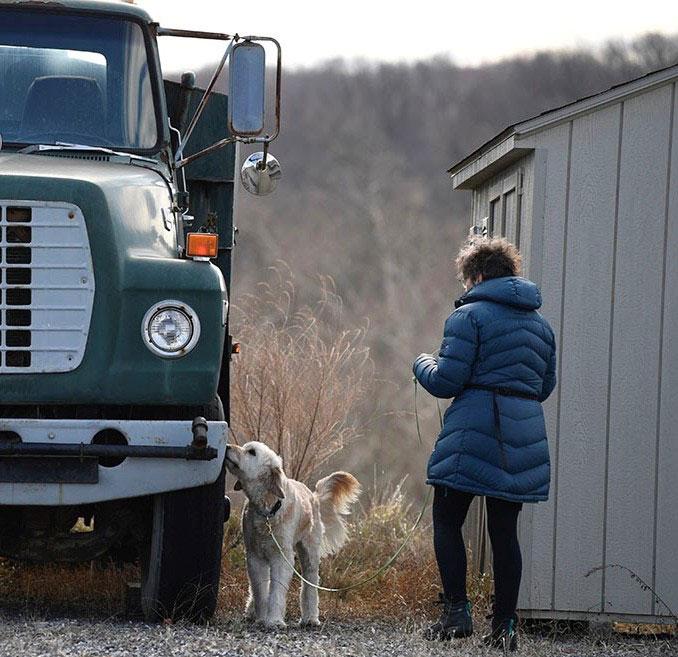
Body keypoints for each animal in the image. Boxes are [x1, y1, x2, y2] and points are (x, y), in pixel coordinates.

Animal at [224, 440, 362, 624]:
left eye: (251, 452)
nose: (226, 446)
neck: (268, 509)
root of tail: (314, 496)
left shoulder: (282, 557)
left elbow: (276, 592)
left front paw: (274, 620)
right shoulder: (255, 556)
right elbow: (260, 590)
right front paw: (261, 617)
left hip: (309, 553)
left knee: (310, 585)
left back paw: (310, 618)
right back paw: (251, 611)